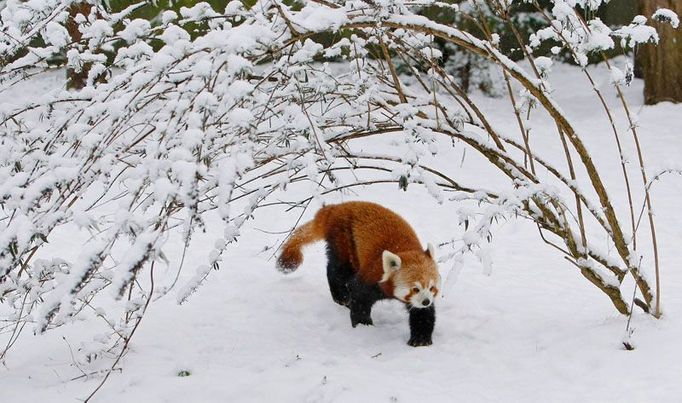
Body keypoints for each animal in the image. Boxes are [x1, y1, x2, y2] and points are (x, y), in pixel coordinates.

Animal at [276, 202, 440, 348]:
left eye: (432, 288)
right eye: (415, 289)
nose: (426, 301)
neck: (404, 250)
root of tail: (335, 207)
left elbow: (422, 314)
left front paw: (420, 339)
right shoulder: (373, 274)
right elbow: (360, 296)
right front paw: (363, 326)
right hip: (344, 238)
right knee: (337, 271)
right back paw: (341, 297)